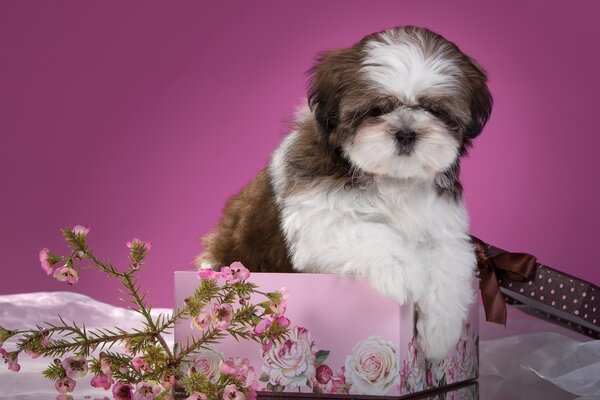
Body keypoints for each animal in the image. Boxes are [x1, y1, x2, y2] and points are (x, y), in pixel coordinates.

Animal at [197, 25, 492, 360]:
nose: (406, 133)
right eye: (376, 110)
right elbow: (370, 232)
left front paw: (441, 334)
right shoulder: (319, 218)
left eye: (434, 110)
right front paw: (404, 270)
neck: (392, 178)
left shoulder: (444, 228)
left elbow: (449, 265)